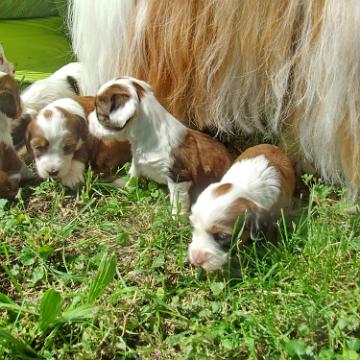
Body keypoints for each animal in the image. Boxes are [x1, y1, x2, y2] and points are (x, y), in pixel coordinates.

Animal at [88, 75, 232, 212]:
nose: (88, 120)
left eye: (99, 115)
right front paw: (124, 185)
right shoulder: (137, 161)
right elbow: (133, 174)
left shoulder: (178, 177)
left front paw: (176, 217)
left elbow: (178, 201)